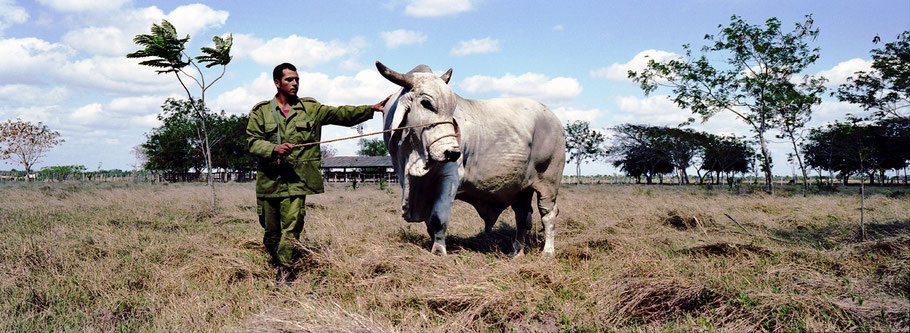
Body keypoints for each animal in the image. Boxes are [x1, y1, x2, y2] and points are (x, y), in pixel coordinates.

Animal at [376, 61, 564, 255]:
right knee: (522, 217)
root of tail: (553, 117)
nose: (452, 152)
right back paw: (516, 252)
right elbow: (429, 223)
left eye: (453, 109)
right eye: (426, 103)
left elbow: (437, 219)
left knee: (548, 215)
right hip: (522, 188)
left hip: (549, 182)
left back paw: (548, 252)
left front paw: (439, 251)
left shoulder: (449, 178)